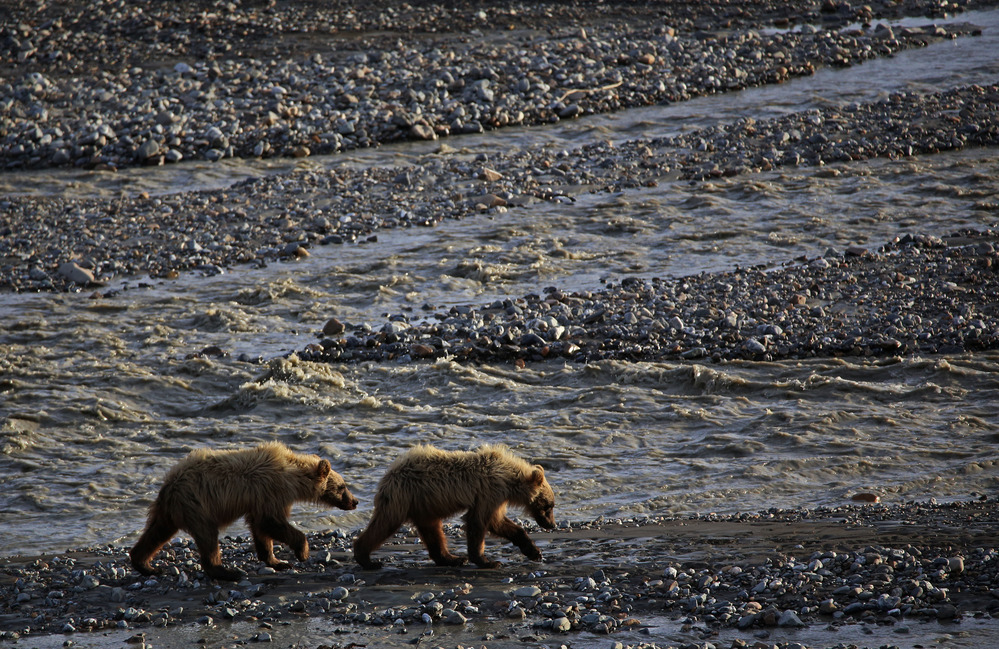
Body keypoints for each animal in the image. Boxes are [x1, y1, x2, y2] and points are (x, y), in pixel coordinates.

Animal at [130, 441, 358, 581]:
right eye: (342, 486)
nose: (355, 501)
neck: (293, 478)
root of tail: (169, 486)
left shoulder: (259, 498)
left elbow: (260, 527)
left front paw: (277, 560)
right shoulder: (271, 491)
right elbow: (270, 522)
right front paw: (302, 552)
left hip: (171, 510)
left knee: (156, 532)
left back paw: (145, 564)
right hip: (197, 505)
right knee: (208, 537)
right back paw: (227, 571)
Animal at [353, 444, 556, 569]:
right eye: (549, 506)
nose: (552, 524)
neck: (509, 478)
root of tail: (388, 474)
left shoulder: (496, 497)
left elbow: (499, 523)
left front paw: (534, 552)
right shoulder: (490, 492)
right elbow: (481, 522)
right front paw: (487, 561)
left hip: (423, 503)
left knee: (431, 530)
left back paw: (451, 558)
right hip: (402, 497)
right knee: (385, 524)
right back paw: (367, 559)